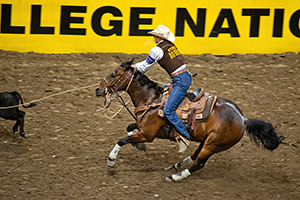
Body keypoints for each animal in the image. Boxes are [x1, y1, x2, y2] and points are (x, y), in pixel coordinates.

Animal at [96, 59, 286, 181]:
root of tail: (242, 118)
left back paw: (174, 176)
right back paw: (176, 166)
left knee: (199, 163)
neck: (152, 100)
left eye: (114, 74)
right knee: (195, 156)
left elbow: (122, 140)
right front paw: (138, 146)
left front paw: (111, 161)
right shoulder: (143, 128)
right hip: (208, 141)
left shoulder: (148, 134)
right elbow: (129, 127)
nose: (98, 89)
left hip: (213, 144)